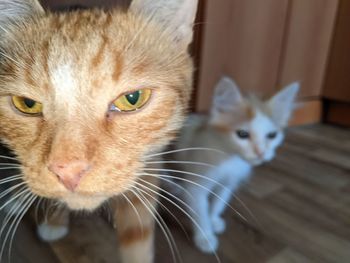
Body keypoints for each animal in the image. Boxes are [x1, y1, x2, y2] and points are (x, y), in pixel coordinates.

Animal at [0, 1, 197, 262]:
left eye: (132, 99)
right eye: (27, 104)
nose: (69, 172)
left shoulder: (148, 164)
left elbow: (137, 235)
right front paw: (53, 220)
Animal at [168, 77, 300, 255]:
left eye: (272, 135)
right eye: (242, 134)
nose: (261, 153)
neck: (230, 158)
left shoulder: (229, 183)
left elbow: (219, 203)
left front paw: (213, 220)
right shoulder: (198, 185)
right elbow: (200, 210)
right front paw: (205, 236)